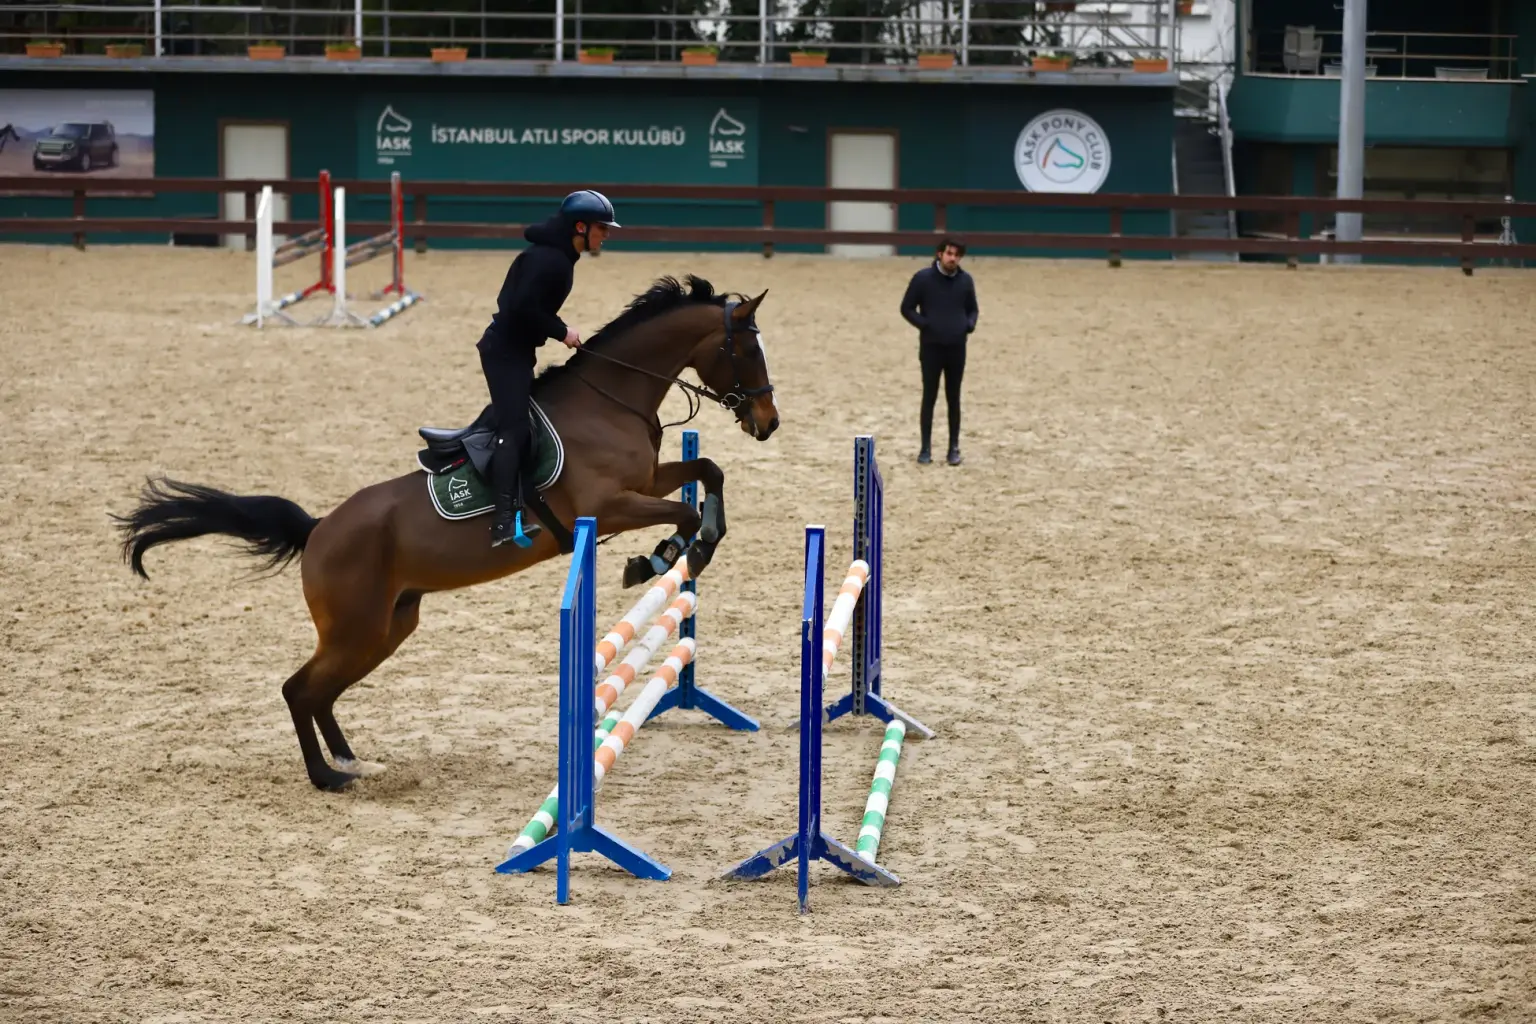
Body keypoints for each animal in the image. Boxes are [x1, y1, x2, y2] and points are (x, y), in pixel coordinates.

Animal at [112, 275, 780, 792]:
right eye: (747, 349)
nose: (768, 423)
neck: (610, 401)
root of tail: (319, 528)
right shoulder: (609, 506)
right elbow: (683, 516)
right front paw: (663, 558)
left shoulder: (648, 481)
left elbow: (707, 472)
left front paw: (697, 541)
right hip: (357, 628)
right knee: (298, 689)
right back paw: (327, 777)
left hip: (388, 627)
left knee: (319, 692)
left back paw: (348, 760)